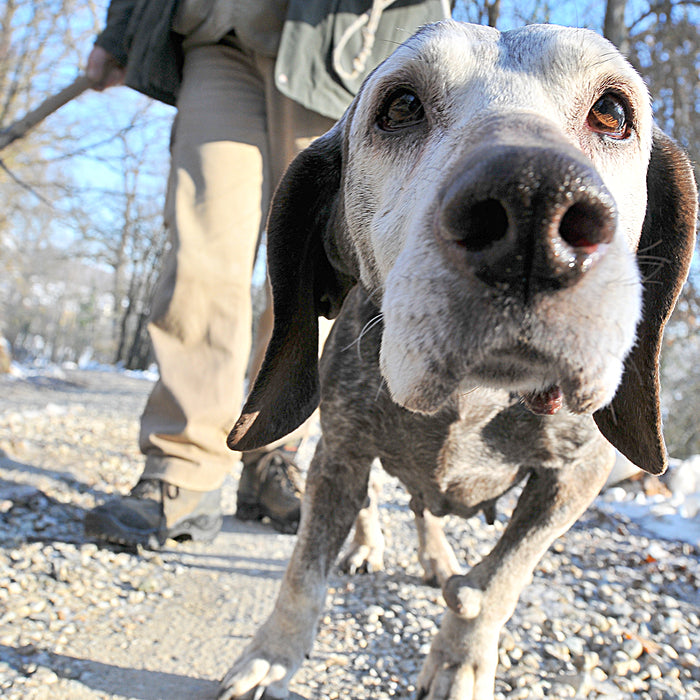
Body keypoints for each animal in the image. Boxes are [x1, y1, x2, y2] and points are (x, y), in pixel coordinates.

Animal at [217, 21, 696, 700]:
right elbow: (303, 575)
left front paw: (460, 656)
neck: (476, 400)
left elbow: (498, 578)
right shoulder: (340, 453)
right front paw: (271, 657)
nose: (533, 204)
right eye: (400, 107)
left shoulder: (575, 479)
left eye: (613, 111)